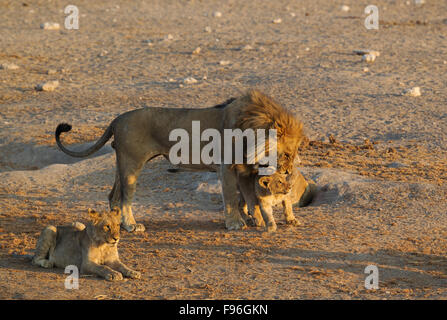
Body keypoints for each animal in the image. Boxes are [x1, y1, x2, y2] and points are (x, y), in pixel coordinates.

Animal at [54, 90, 302, 232]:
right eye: (286, 154)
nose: (288, 173)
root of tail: (117, 118)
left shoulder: (245, 170)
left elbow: (250, 197)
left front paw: (256, 220)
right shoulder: (227, 167)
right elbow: (232, 197)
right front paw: (234, 224)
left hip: (120, 164)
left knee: (113, 195)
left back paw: (118, 225)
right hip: (131, 164)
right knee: (125, 198)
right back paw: (131, 225)